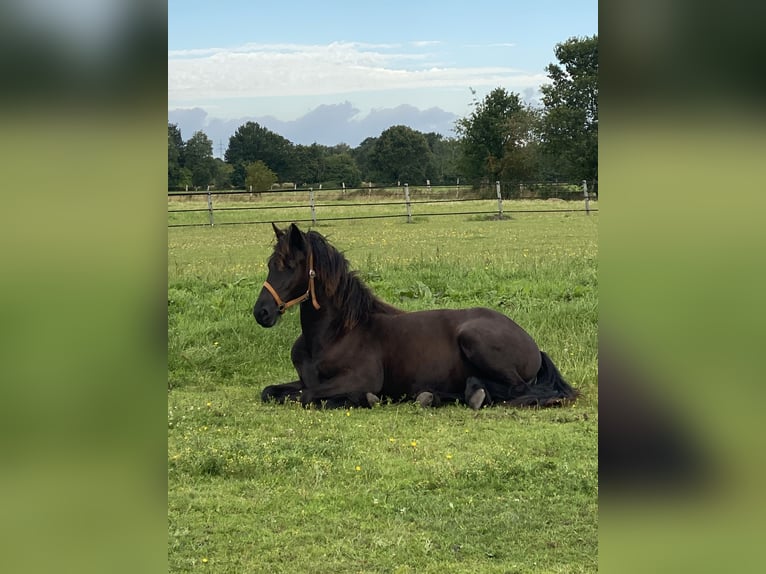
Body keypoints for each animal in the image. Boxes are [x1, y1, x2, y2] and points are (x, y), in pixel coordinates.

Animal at [255, 224, 580, 410]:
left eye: (289, 265)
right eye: (271, 264)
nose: (261, 312)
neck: (335, 335)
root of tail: (533, 345)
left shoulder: (362, 378)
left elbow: (309, 396)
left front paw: (362, 399)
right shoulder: (302, 379)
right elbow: (271, 391)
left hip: (475, 338)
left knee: (517, 390)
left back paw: (470, 394)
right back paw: (437, 396)